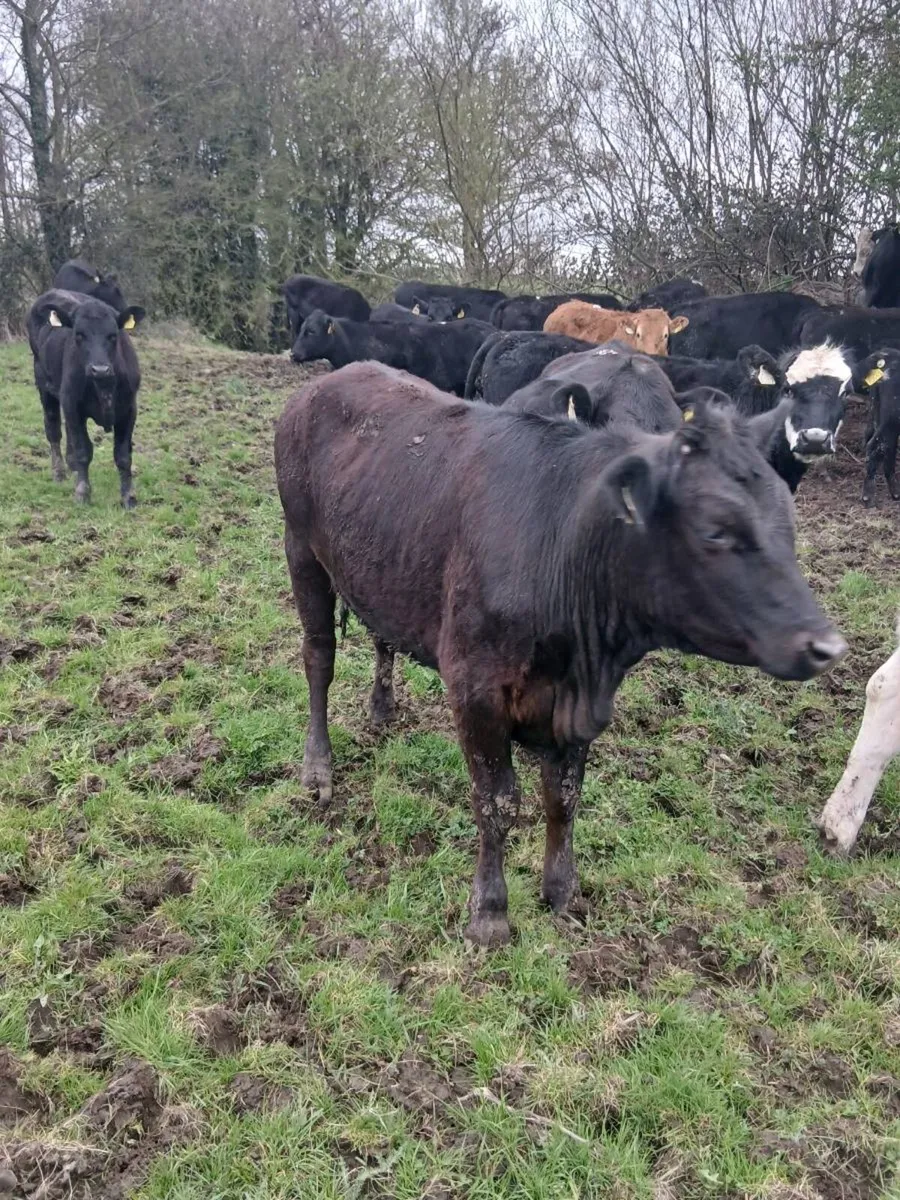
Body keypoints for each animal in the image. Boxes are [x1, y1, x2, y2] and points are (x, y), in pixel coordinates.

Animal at [27, 289, 145, 507]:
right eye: (79, 335)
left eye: (113, 335)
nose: (100, 369)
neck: (104, 386)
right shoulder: (73, 405)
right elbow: (83, 451)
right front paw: (82, 493)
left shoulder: (129, 409)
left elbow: (123, 455)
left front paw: (128, 497)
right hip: (44, 385)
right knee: (53, 430)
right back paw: (59, 472)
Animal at [274, 362, 846, 946]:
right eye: (715, 530)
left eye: (788, 522)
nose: (826, 646)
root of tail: (331, 379)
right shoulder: (475, 690)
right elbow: (497, 802)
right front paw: (490, 913)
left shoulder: (572, 703)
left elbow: (564, 797)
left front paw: (561, 891)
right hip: (300, 548)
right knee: (318, 658)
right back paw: (317, 769)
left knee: (380, 633)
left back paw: (383, 708)